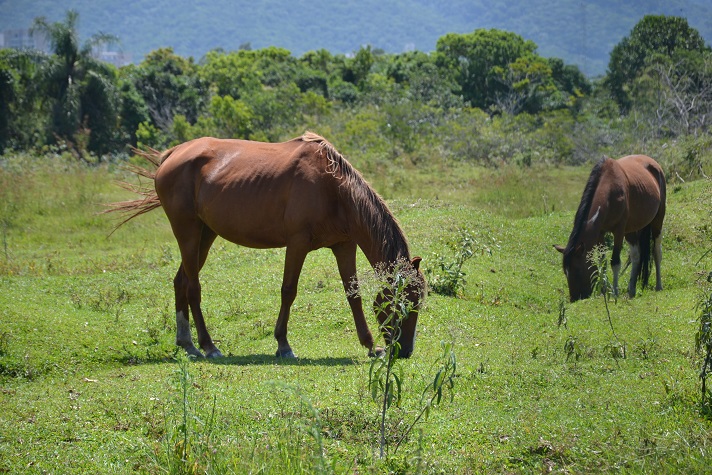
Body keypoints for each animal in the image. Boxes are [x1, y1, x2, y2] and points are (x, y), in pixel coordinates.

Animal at [107, 132, 422, 358]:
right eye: (406, 303)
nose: (405, 351)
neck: (333, 188)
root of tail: (172, 156)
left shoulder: (344, 245)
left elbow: (352, 294)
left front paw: (369, 345)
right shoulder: (297, 243)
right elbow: (288, 291)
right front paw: (283, 344)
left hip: (204, 235)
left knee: (180, 282)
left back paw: (187, 343)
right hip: (188, 232)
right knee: (193, 287)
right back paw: (208, 346)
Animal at [552, 156, 664, 304]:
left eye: (578, 270)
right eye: (565, 272)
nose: (575, 298)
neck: (610, 192)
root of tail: (654, 163)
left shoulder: (619, 231)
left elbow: (615, 262)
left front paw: (615, 292)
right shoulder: (600, 233)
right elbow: (602, 262)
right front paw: (603, 291)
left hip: (658, 220)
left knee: (656, 251)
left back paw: (658, 285)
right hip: (631, 230)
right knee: (636, 256)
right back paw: (631, 290)